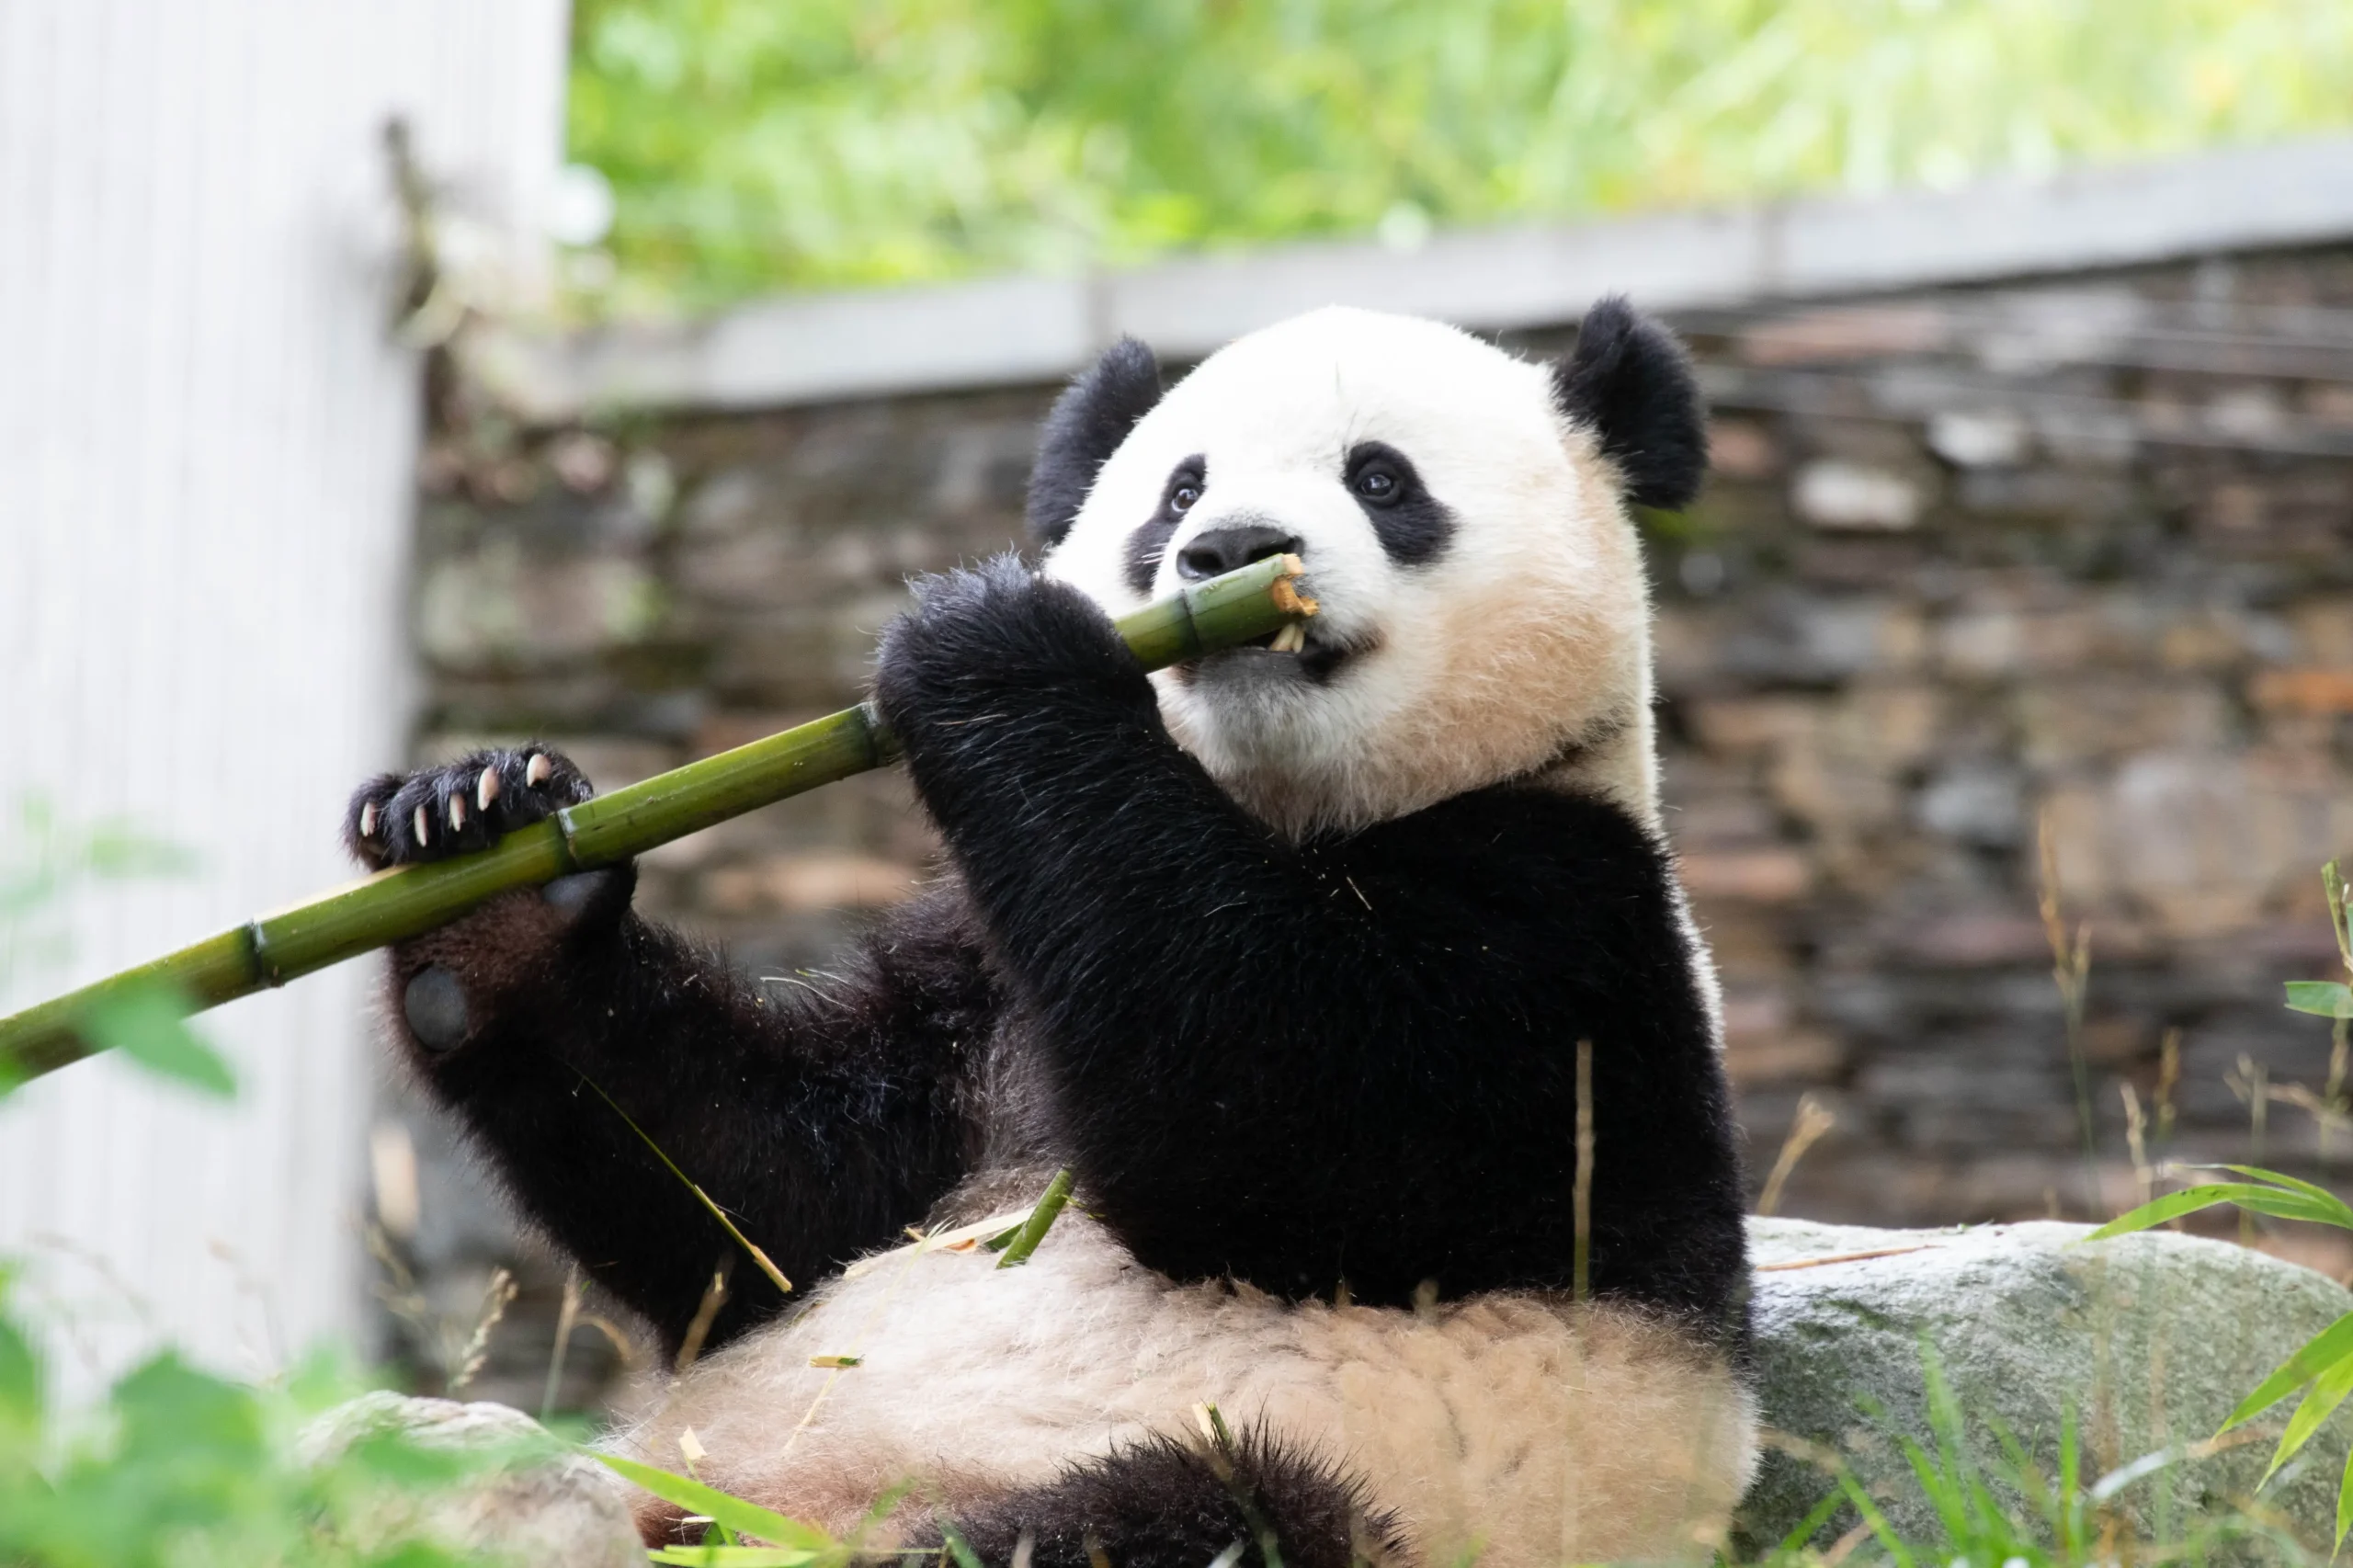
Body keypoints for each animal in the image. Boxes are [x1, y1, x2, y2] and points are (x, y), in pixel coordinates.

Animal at [345, 298, 1756, 1568]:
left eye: (1381, 477)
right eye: (1177, 493)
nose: (1233, 551)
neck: (1283, 812)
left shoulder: (1570, 921)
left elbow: (1299, 1129)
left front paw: (993, 640)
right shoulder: (981, 981)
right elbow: (773, 1207)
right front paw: (489, 864)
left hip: (1369, 1489)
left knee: (1207, 1514)